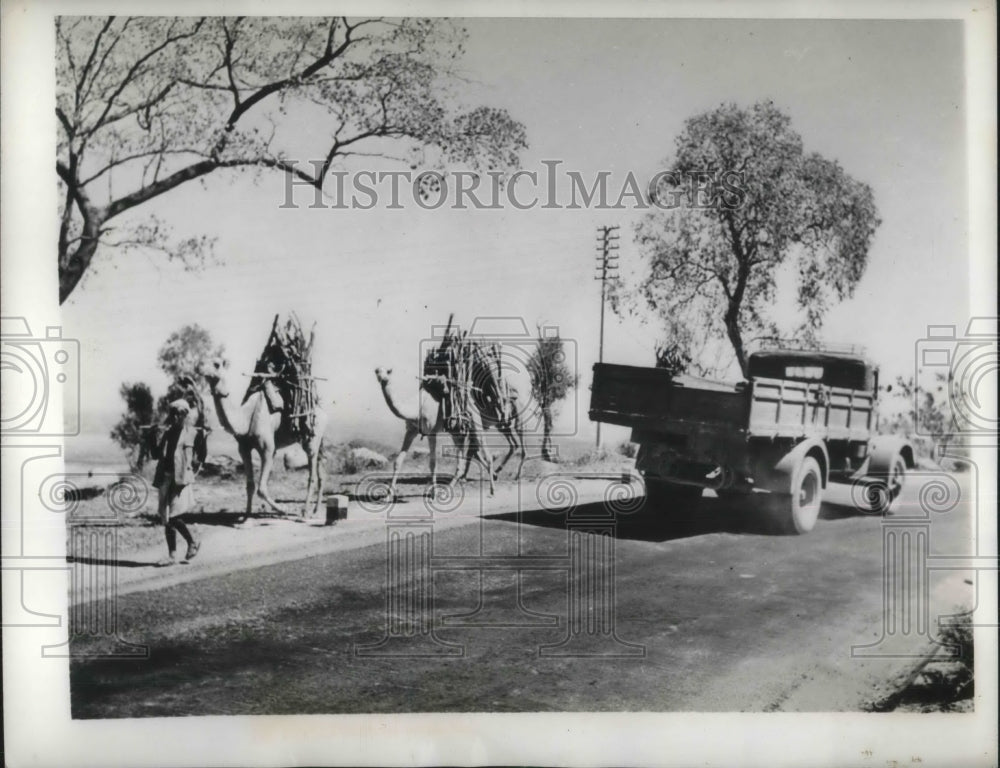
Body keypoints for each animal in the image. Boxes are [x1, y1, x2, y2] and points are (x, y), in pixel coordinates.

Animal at [203, 360, 328, 520]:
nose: (203, 371)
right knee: (321, 470)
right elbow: (250, 485)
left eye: (216, 364)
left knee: (311, 471)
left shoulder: (268, 449)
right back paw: (316, 510)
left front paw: (284, 509)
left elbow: (261, 488)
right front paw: (246, 517)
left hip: (312, 437)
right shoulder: (243, 448)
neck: (245, 417)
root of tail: (322, 411)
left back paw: (305, 512)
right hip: (319, 439)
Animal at [374, 368, 494, 498]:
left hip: (475, 421)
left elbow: (433, 463)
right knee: (461, 459)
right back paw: (449, 489)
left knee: (486, 452)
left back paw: (492, 490)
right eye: (377, 371)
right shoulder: (410, 431)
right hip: (456, 430)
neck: (416, 409)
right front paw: (387, 496)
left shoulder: (431, 433)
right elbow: (398, 462)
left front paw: (434, 492)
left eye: (388, 372)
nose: (382, 378)